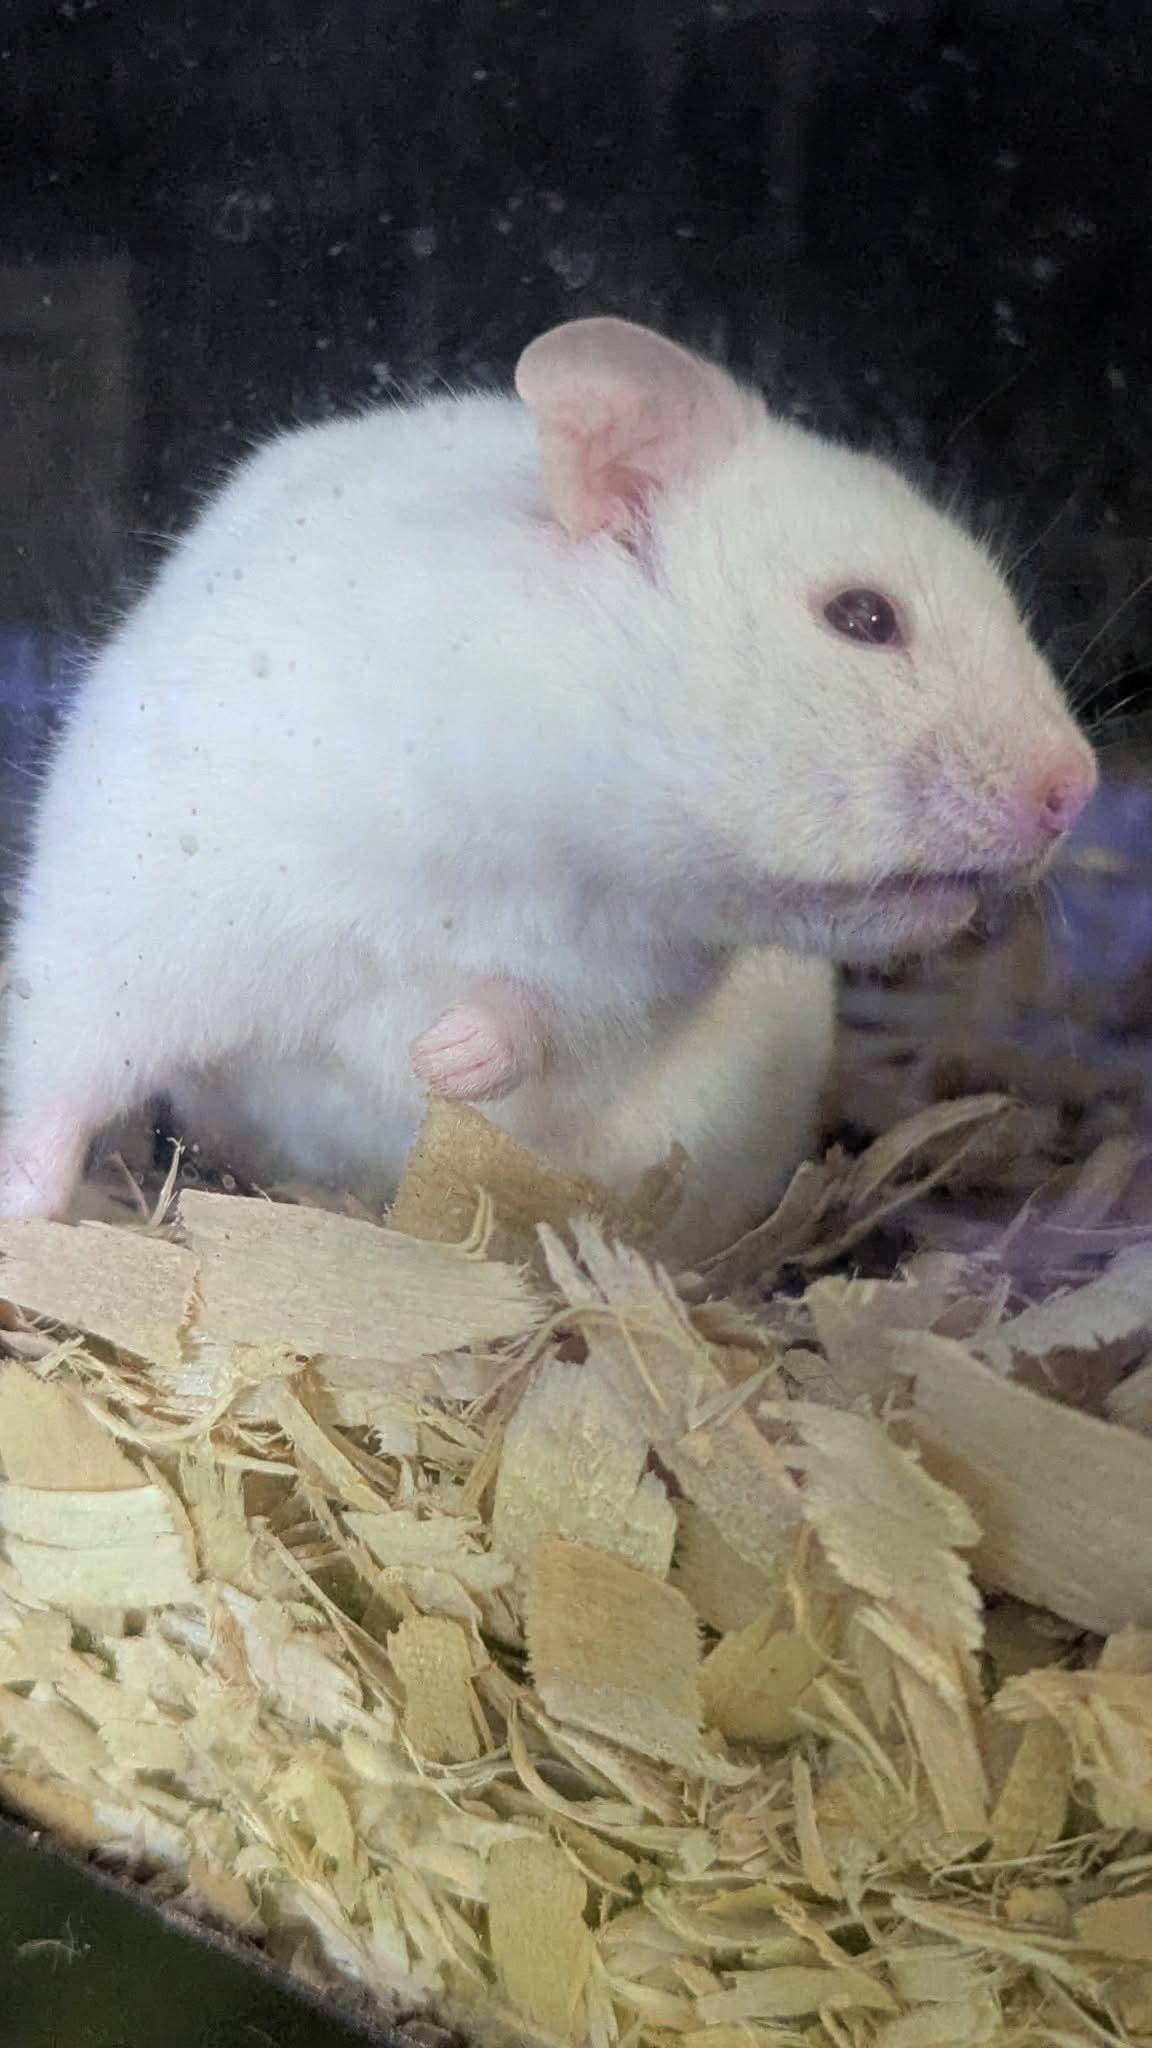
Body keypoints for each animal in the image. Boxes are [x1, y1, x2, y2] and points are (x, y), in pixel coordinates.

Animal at [0, 317, 1096, 1257]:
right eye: (863, 617)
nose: (1076, 791)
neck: (539, 810)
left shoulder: (629, 977)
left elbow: (530, 1017)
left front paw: (437, 1056)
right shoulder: (143, 904)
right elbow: (67, 1063)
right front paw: (23, 1217)